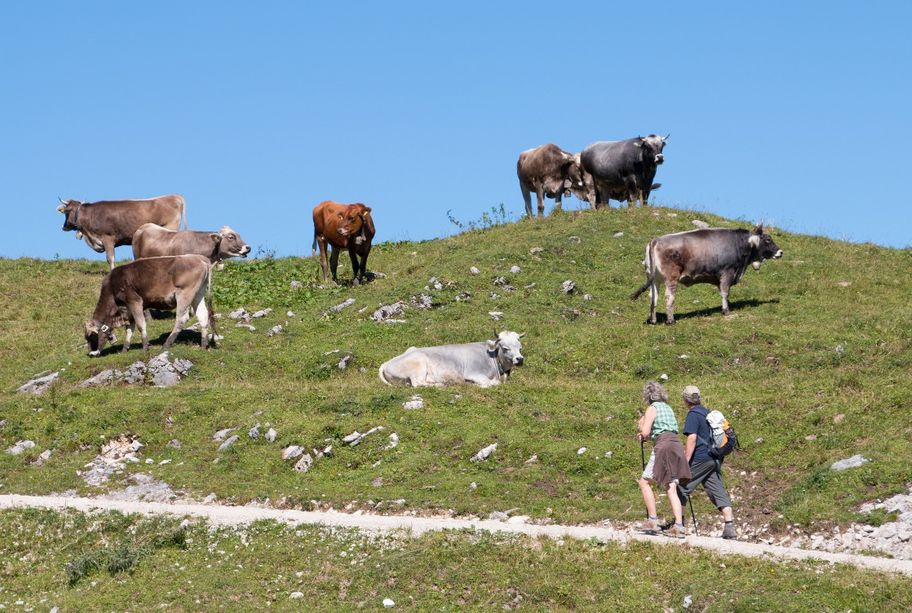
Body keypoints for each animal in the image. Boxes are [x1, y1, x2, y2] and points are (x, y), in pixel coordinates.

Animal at [83, 254, 213, 356]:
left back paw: (166, 344)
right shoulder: (127, 309)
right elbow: (129, 329)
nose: (91, 354)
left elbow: (140, 325)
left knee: (182, 318)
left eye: (91, 335)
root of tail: (200, 258)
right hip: (198, 294)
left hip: (184, 293)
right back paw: (204, 344)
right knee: (203, 315)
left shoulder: (134, 301)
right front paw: (125, 349)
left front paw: (145, 347)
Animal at [378, 331, 525, 388]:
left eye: (520, 347)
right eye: (505, 348)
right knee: (417, 383)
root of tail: (387, 362)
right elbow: (491, 383)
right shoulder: (473, 373)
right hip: (418, 365)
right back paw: (441, 385)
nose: (520, 359)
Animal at [631, 225, 783, 324]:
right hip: (671, 277)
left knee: (653, 297)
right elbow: (725, 292)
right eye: (768, 239)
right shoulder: (727, 272)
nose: (780, 252)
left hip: (653, 278)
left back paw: (653, 320)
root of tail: (655, 240)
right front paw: (726, 311)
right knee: (669, 297)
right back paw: (670, 320)